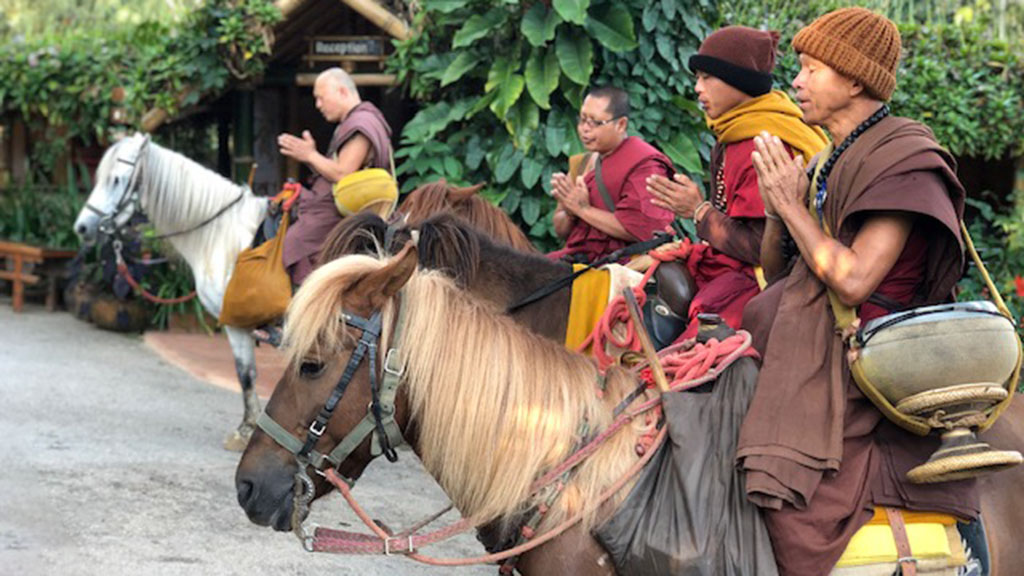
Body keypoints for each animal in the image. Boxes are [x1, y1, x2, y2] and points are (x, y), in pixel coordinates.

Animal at [74, 131, 270, 448]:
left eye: (116, 180)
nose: (82, 227)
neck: (223, 236)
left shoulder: (237, 324)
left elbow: (248, 376)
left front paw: (248, 432)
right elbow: (247, 374)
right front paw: (249, 429)